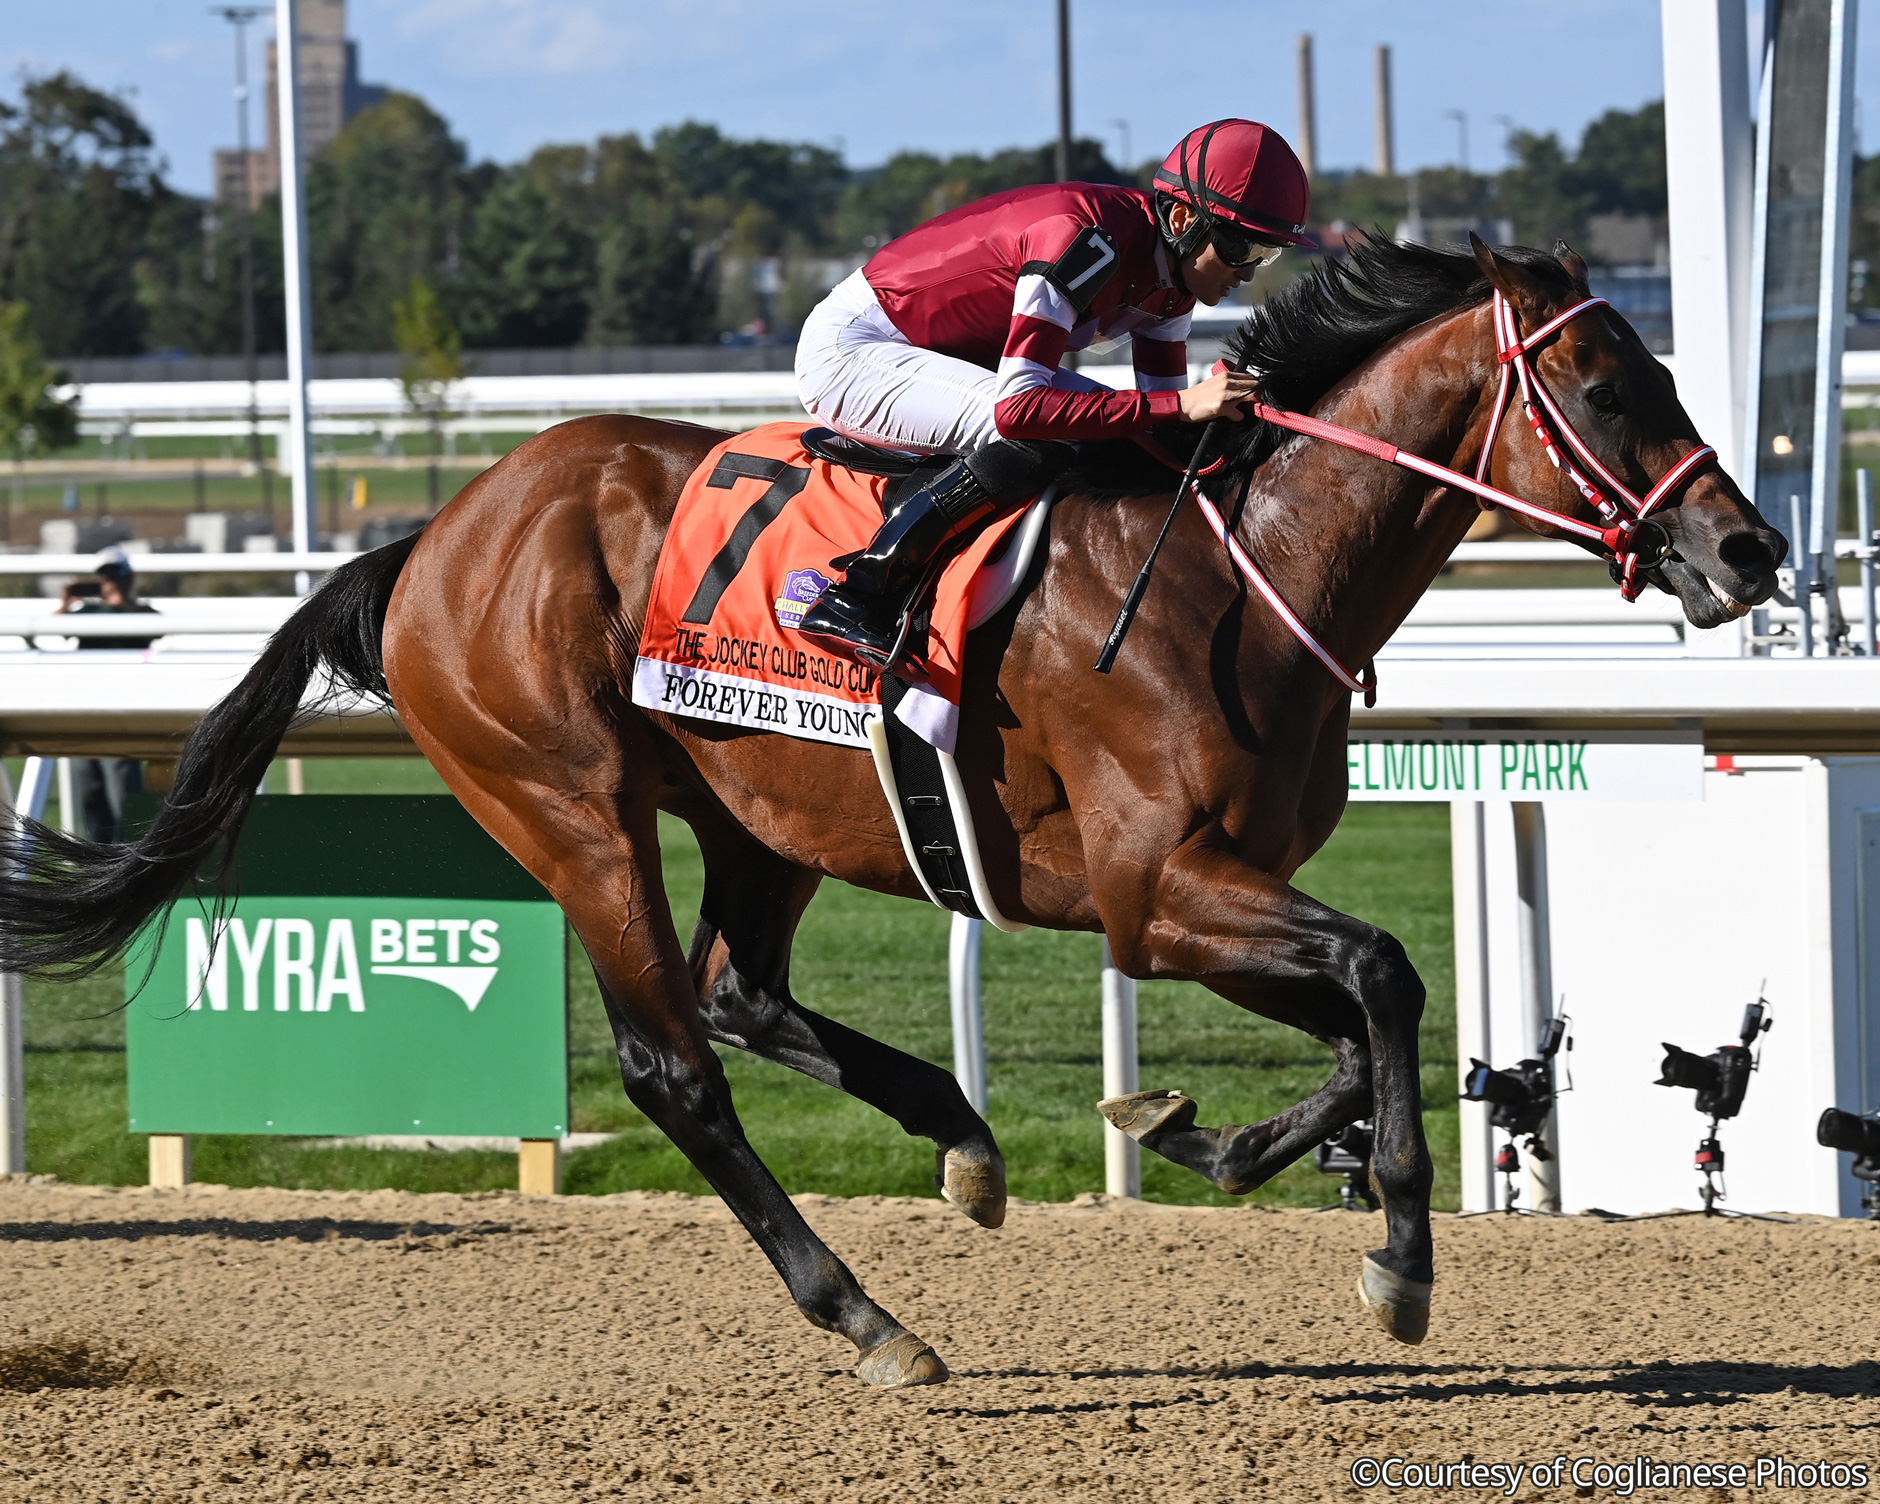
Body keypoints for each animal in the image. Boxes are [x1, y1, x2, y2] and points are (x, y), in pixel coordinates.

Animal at [0, 235, 1783, 1389]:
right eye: (1606, 381)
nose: (1750, 550)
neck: (1240, 571)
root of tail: (430, 538)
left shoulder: (1197, 897)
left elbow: (1364, 1017)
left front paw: (1215, 1137)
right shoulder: (1153, 893)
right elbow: (1387, 976)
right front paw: (1399, 1258)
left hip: (752, 815)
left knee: (744, 993)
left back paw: (966, 1146)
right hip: (569, 807)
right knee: (673, 1061)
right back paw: (866, 1316)